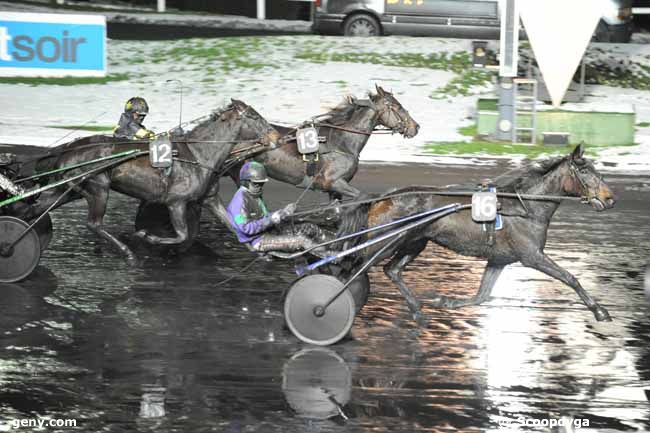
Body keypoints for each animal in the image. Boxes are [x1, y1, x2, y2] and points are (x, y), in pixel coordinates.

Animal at [15, 100, 278, 264]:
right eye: (255, 116)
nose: (276, 136)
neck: (198, 155)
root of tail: (67, 148)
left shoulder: (209, 199)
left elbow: (232, 225)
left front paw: (261, 252)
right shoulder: (176, 202)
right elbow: (181, 234)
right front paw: (146, 236)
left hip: (68, 189)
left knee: (35, 210)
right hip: (98, 187)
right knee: (94, 224)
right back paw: (128, 252)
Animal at [336, 144, 616, 320]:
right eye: (584, 171)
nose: (610, 198)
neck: (525, 206)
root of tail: (384, 197)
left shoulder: (499, 259)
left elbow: (482, 296)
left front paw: (445, 302)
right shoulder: (532, 256)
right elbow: (571, 278)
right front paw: (600, 311)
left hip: (414, 242)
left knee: (392, 270)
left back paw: (416, 309)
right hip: (385, 241)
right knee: (350, 266)